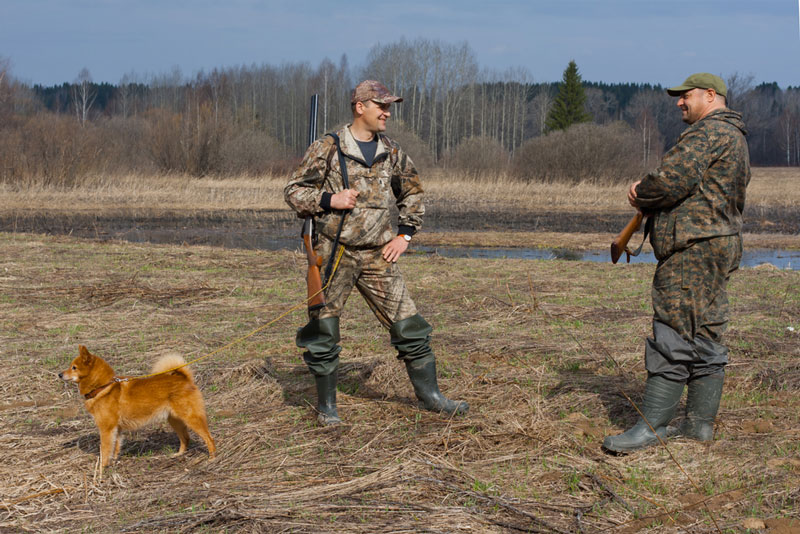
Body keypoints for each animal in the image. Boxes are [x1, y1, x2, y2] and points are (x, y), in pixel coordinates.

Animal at [60, 346, 216, 476]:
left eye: (74, 367)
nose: (59, 374)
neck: (103, 387)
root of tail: (184, 378)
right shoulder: (116, 429)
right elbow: (115, 448)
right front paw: (114, 463)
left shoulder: (106, 429)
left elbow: (105, 451)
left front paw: (101, 470)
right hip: (175, 420)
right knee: (185, 438)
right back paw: (179, 454)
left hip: (191, 418)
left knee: (209, 438)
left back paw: (212, 458)